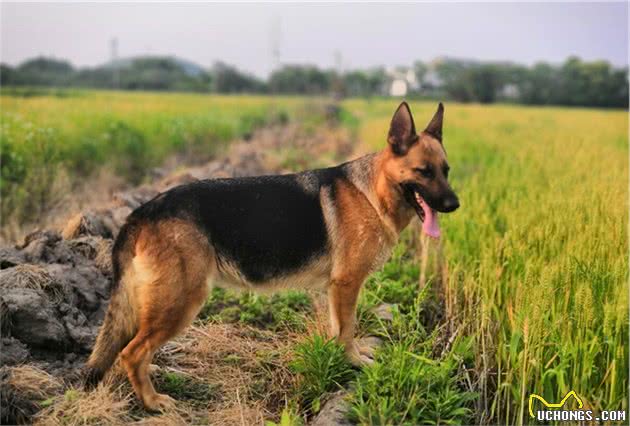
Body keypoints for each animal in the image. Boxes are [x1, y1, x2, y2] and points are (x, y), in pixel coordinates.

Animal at [84, 101, 460, 412]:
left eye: (446, 170)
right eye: (423, 171)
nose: (455, 205)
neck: (373, 192)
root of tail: (141, 212)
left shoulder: (335, 289)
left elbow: (338, 329)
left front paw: (341, 360)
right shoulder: (346, 285)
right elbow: (348, 328)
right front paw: (352, 363)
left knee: (130, 350)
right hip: (181, 302)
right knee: (132, 353)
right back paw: (152, 403)